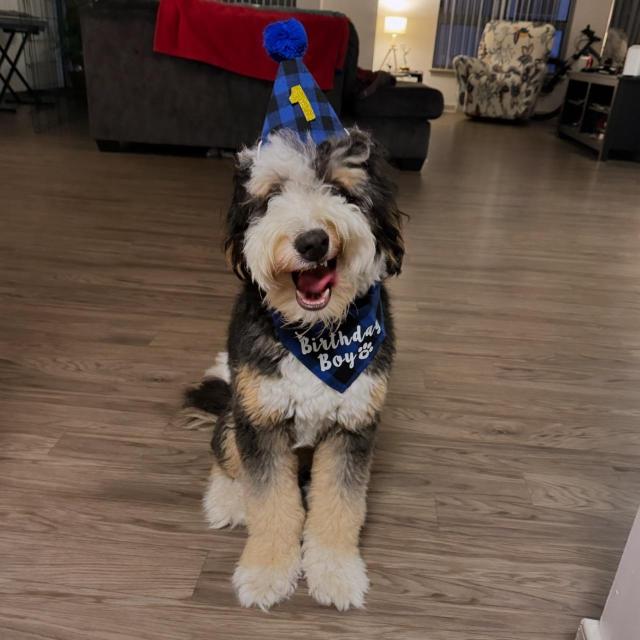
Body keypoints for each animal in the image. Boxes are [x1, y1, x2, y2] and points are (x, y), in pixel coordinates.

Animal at [178, 18, 402, 608]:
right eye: (273, 193)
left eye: (341, 190)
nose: (311, 240)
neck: (317, 336)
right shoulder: (262, 424)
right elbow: (271, 504)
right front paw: (267, 571)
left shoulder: (352, 428)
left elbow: (338, 507)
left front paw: (335, 571)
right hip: (236, 414)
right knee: (224, 457)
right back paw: (226, 502)